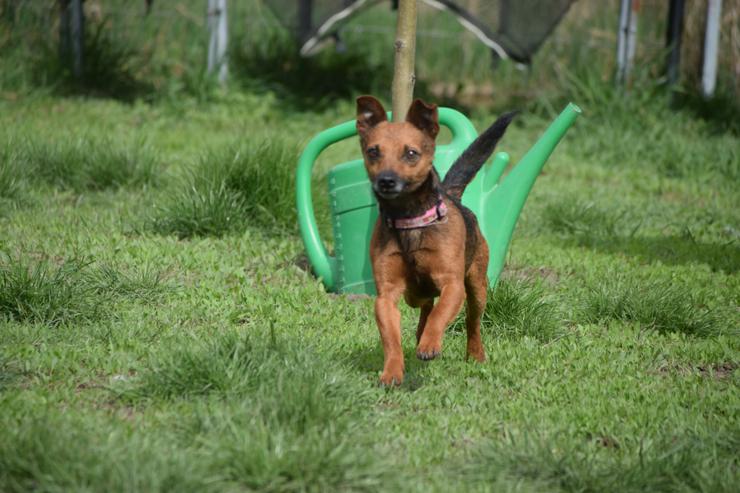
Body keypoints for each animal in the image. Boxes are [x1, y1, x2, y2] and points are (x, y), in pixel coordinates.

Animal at [356, 97, 512, 384]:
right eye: (373, 151)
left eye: (411, 153)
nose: (386, 181)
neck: (409, 220)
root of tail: (452, 195)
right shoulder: (386, 296)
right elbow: (391, 338)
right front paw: (392, 372)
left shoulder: (452, 285)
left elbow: (441, 314)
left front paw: (430, 345)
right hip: (413, 295)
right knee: (426, 304)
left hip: (477, 288)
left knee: (472, 322)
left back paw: (475, 354)